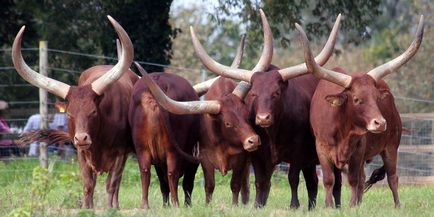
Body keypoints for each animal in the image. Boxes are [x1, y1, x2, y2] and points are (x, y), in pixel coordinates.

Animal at [11, 15, 138, 209]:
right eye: (69, 114)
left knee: (116, 184)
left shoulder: (120, 153)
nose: (81, 138)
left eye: (93, 112)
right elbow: (88, 184)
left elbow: (111, 184)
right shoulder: (81, 153)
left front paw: (111, 209)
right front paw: (87, 209)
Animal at [131, 63, 202, 209]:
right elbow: (188, 183)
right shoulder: (194, 160)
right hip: (173, 151)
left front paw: (165, 205)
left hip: (142, 149)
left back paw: (145, 205)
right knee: (172, 174)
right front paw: (187, 205)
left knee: (145, 172)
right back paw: (176, 204)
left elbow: (163, 184)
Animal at [190, 8, 342, 209]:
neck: (274, 132)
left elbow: (292, 178)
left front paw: (294, 205)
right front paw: (257, 205)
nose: (262, 118)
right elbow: (261, 181)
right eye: (253, 94)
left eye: (276, 93)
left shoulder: (298, 151)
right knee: (311, 182)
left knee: (335, 181)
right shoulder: (259, 154)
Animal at [296, 16, 426, 208]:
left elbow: (353, 179)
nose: (381, 123)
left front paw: (351, 206)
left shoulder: (358, 150)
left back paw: (397, 206)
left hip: (391, 146)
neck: (342, 127)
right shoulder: (321, 148)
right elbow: (329, 180)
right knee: (364, 178)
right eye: (356, 99)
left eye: (377, 97)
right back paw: (360, 203)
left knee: (392, 177)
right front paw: (329, 206)